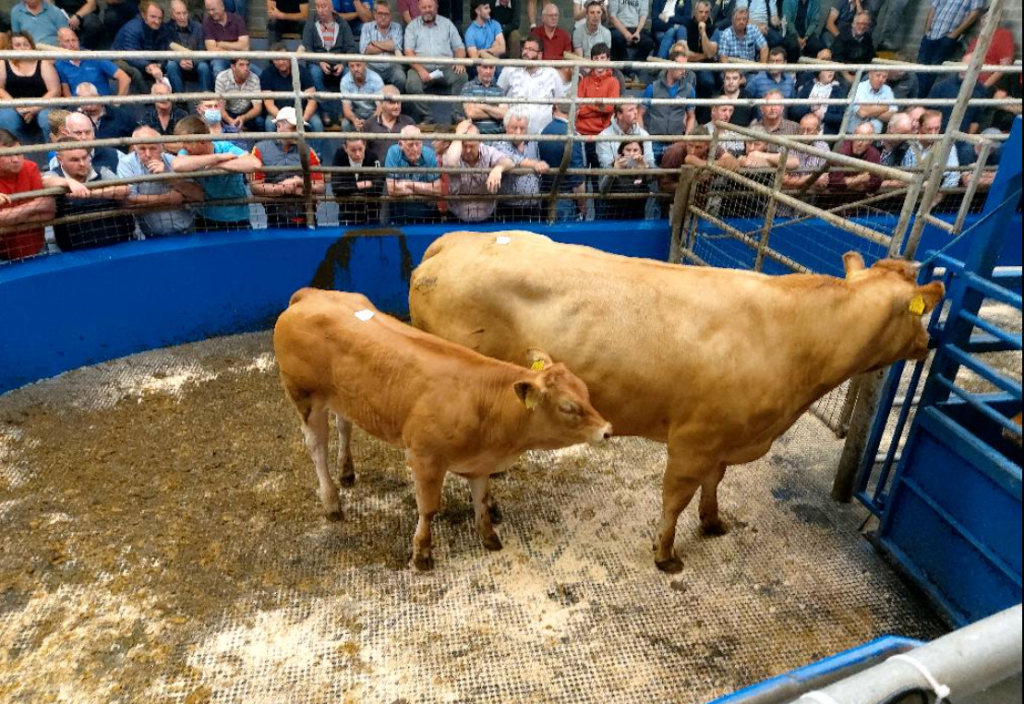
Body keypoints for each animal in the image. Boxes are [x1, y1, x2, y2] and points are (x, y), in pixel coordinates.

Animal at [273, 288, 612, 571]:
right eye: (568, 407)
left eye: (586, 392)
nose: (607, 429)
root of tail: (309, 295)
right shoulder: (425, 458)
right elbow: (428, 508)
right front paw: (421, 554)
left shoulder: (480, 463)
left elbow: (480, 500)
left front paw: (489, 536)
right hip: (304, 397)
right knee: (317, 448)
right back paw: (332, 502)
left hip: (345, 396)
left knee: (344, 425)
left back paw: (347, 471)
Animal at [408, 231, 945, 573]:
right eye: (919, 313)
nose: (930, 343)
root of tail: (452, 242)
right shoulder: (694, 438)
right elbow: (675, 497)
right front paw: (665, 554)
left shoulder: (725, 435)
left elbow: (714, 484)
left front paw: (713, 522)